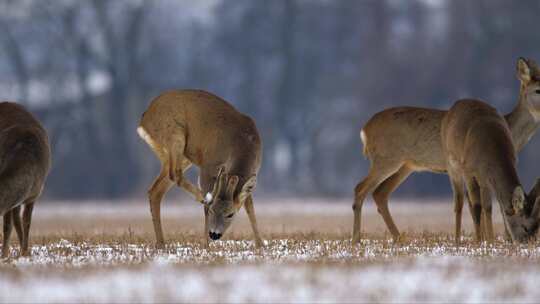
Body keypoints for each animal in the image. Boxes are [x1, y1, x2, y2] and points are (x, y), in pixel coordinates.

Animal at [0, 101, 51, 256]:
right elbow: (8, 225)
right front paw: (5, 254)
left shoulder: (34, 194)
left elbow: (25, 222)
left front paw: (23, 252)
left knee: (17, 218)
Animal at [138, 89, 262, 248]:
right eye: (213, 211)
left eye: (231, 214)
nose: (214, 234)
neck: (243, 144)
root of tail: (144, 120)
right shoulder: (208, 165)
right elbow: (207, 205)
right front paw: (206, 245)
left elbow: (249, 205)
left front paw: (260, 244)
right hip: (174, 134)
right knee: (175, 174)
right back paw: (203, 197)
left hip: (182, 156)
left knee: (155, 190)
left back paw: (161, 243)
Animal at [442, 99, 540, 242]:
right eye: (525, 227)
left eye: (537, 228)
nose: (527, 243)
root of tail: (455, 105)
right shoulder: (469, 171)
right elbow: (477, 206)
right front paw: (479, 241)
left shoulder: (486, 178)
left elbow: (490, 207)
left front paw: (490, 240)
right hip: (452, 165)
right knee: (459, 201)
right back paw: (457, 240)